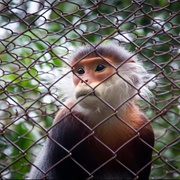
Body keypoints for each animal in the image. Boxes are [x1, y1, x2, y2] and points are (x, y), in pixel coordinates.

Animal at [28, 43, 154, 179]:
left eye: (100, 67)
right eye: (80, 71)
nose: (84, 81)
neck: (105, 115)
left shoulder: (144, 127)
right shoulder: (65, 119)